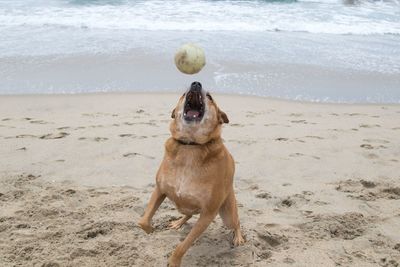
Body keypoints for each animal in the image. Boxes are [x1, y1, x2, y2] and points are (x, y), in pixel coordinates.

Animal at [138, 81, 244, 266]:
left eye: (210, 97)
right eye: (182, 94)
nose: (195, 83)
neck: (190, 145)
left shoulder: (208, 214)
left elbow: (184, 244)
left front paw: (173, 261)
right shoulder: (159, 190)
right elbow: (143, 220)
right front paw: (150, 229)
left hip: (227, 213)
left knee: (236, 222)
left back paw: (238, 237)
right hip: (182, 206)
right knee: (187, 214)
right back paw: (178, 222)